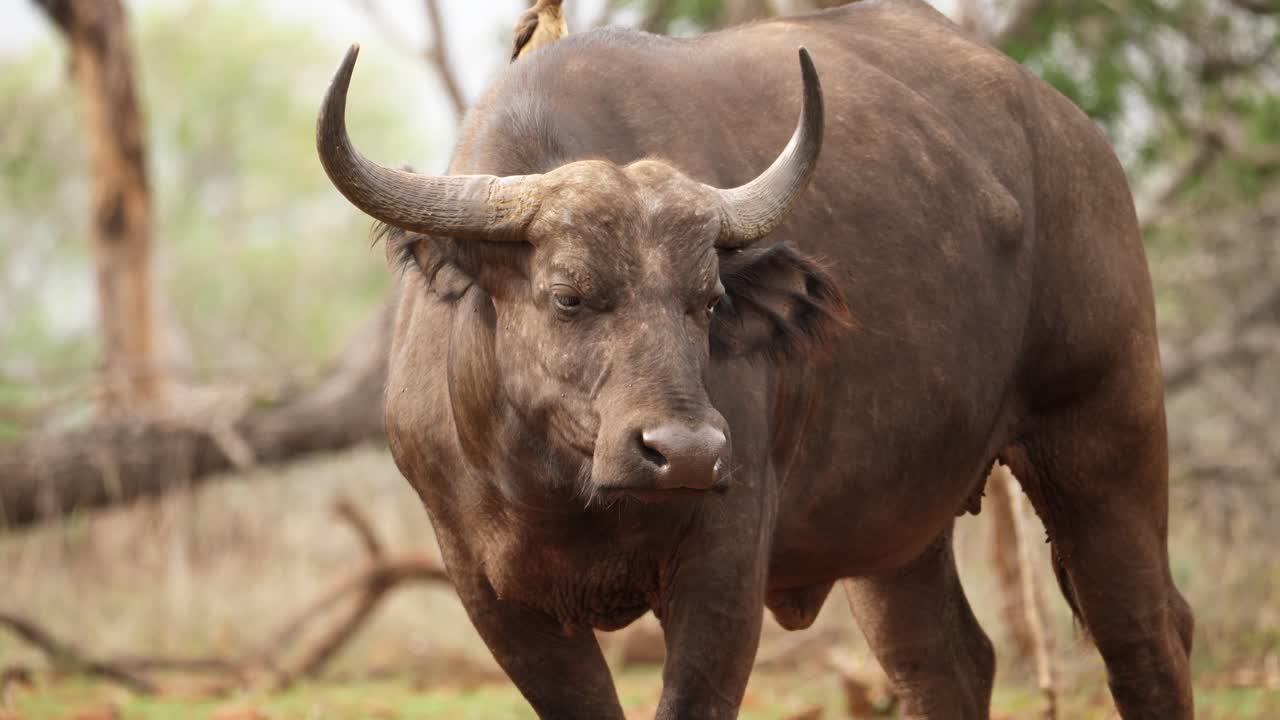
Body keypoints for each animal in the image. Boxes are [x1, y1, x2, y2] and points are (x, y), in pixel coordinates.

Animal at [316, 1, 1192, 717]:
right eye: (568, 296)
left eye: (708, 301)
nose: (687, 452)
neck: (561, 484)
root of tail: (1077, 137)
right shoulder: (490, 591)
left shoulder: (724, 566)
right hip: (893, 523)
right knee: (946, 664)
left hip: (1104, 439)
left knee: (1149, 636)